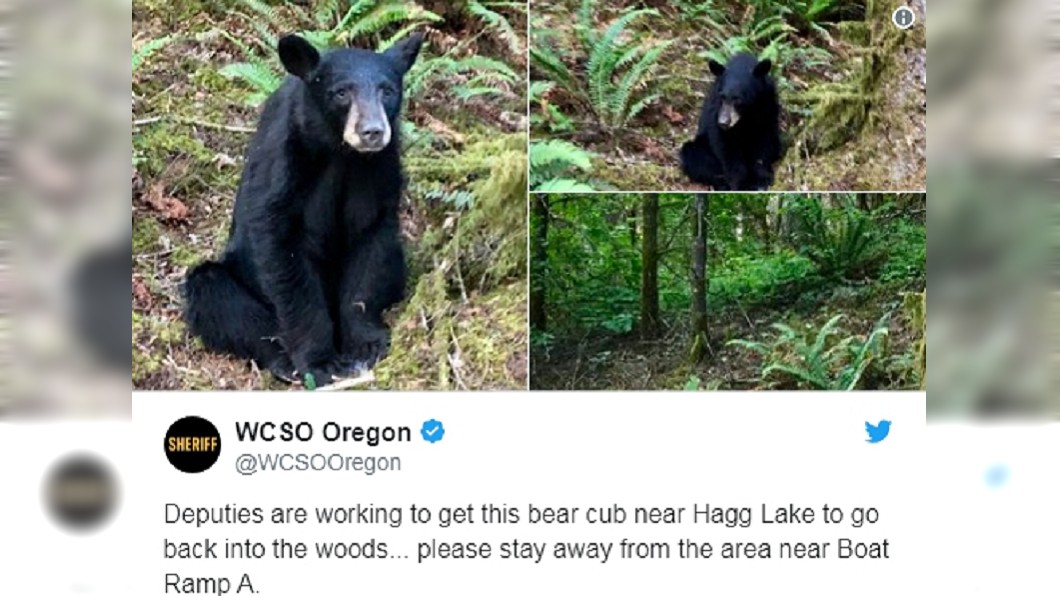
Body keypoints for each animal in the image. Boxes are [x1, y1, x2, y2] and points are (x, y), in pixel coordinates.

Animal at [182, 32, 424, 386]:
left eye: (388, 90)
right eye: (341, 92)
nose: (372, 132)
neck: (341, 153)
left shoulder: (379, 169)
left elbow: (371, 241)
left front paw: (365, 343)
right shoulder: (285, 162)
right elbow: (283, 252)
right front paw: (319, 360)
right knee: (214, 293)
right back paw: (282, 359)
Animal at [679, 52, 781, 191]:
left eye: (738, 99)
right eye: (722, 96)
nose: (723, 122)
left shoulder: (767, 104)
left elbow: (765, 139)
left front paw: (762, 179)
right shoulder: (716, 108)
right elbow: (725, 145)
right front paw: (742, 183)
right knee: (693, 155)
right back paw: (722, 183)